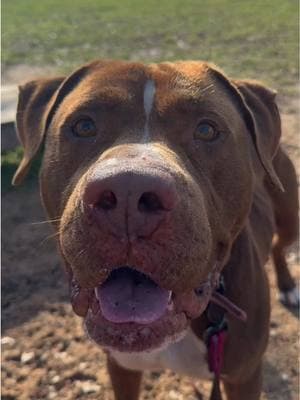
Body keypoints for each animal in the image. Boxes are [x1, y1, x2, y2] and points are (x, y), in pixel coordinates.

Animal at [12, 60, 298, 400]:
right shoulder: (121, 368)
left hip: (290, 217)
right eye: (84, 126)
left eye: (206, 130)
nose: (128, 190)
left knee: (280, 245)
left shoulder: (244, 377)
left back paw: (287, 285)